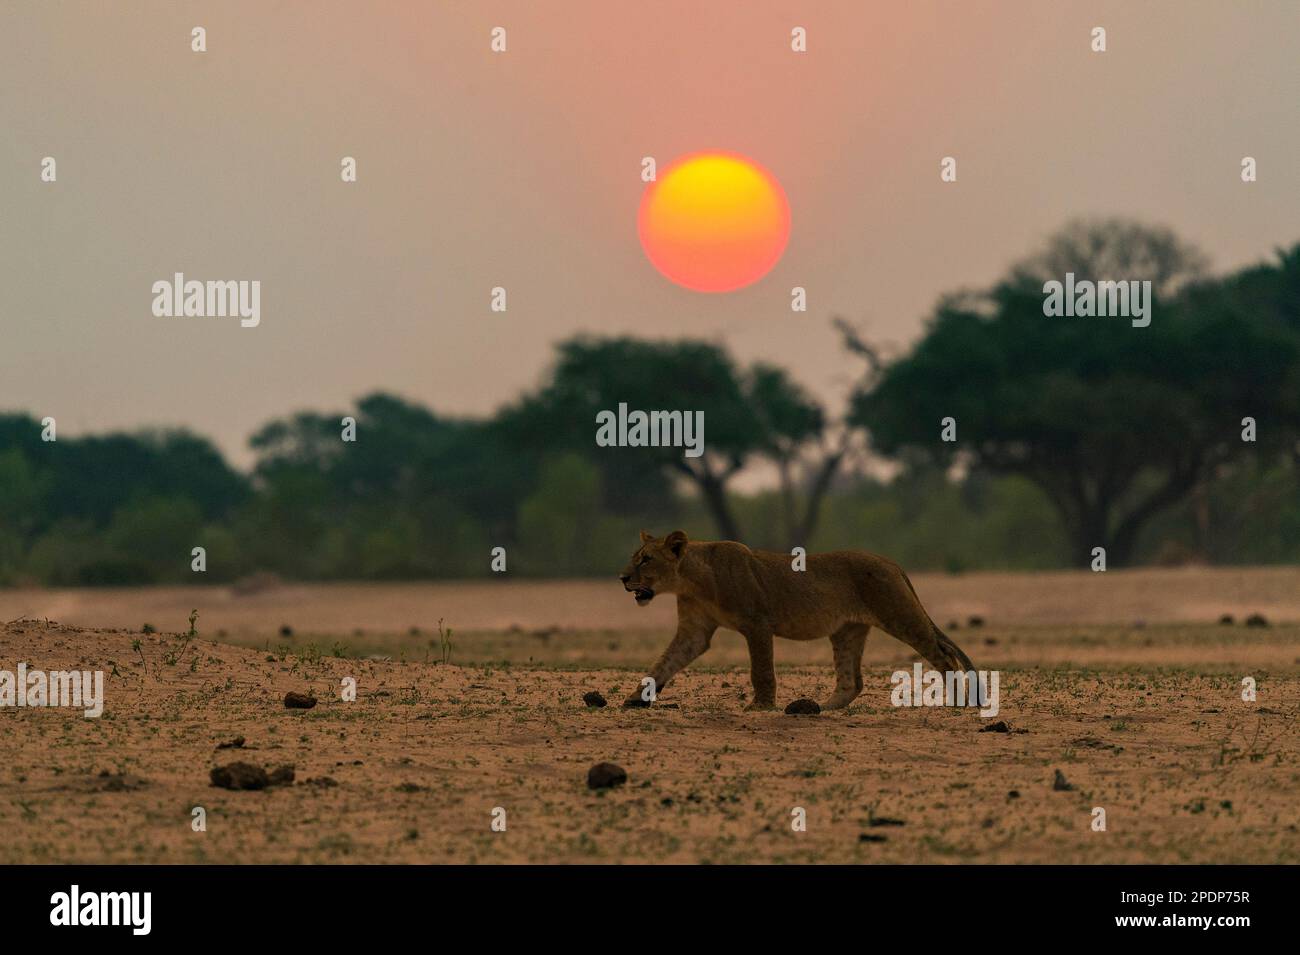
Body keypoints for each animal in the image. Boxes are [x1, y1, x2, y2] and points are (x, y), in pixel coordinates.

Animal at [618, 530, 977, 712]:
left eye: (645, 560)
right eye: (635, 558)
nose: (622, 578)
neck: (691, 580)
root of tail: (891, 562)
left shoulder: (757, 623)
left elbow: (761, 670)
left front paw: (761, 707)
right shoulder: (695, 630)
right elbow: (665, 662)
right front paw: (637, 697)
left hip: (899, 615)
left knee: (943, 656)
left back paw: (959, 700)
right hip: (846, 631)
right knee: (852, 680)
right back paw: (824, 707)